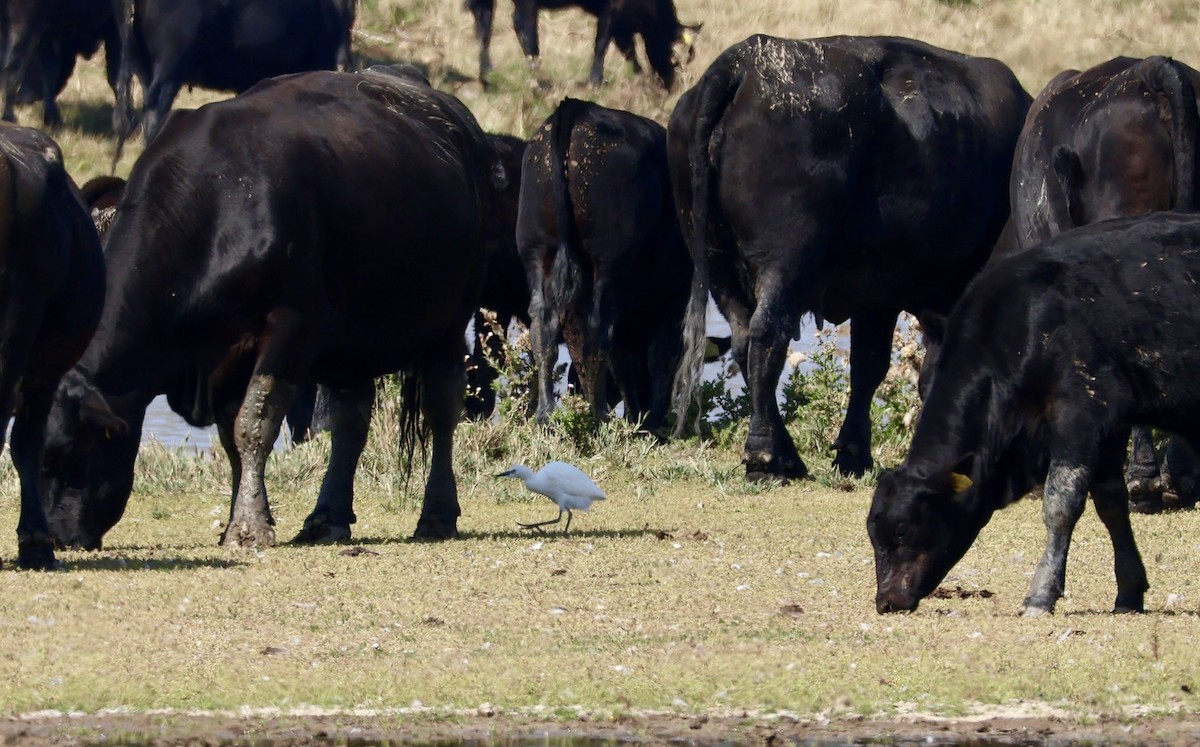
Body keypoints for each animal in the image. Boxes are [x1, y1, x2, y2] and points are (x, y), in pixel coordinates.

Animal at [41, 65, 501, 551]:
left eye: (67, 451)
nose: (56, 537)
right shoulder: (227, 353)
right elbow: (232, 437)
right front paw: (240, 518)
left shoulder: (290, 328)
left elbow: (254, 425)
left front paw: (248, 526)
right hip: (351, 338)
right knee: (351, 419)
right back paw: (327, 517)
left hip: (451, 321)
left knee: (442, 407)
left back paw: (437, 514)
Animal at [465, 0, 698, 89]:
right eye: (672, 50)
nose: (670, 83)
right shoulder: (613, 10)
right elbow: (601, 44)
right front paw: (594, 81)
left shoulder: (622, 22)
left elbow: (627, 50)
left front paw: (640, 76)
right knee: (525, 29)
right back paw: (538, 81)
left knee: (484, 26)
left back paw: (487, 76)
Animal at [518, 97, 690, 432]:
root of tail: (577, 108)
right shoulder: (674, 296)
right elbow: (659, 356)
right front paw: (653, 422)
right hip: (608, 263)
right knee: (597, 329)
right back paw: (598, 417)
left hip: (536, 251)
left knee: (543, 327)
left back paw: (546, 417)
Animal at [667, 34, 1032, 481]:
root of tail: (743, 64)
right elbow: (877, 367)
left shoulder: (878, 296)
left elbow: (868, 366)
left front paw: (852, 452)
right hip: (785, 262)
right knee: (766, 336)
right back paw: (767, 456)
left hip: (716, 264)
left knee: (741, 340)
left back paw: (784, 452)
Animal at [869, 212, 1200, 616]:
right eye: (874, 534)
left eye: (903, 530)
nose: (886, 600)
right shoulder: (1110, 427)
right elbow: (1111, 504)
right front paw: (1128, 593)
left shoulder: (1079, 411)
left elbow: (1060, 504)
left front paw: (1040, 594)